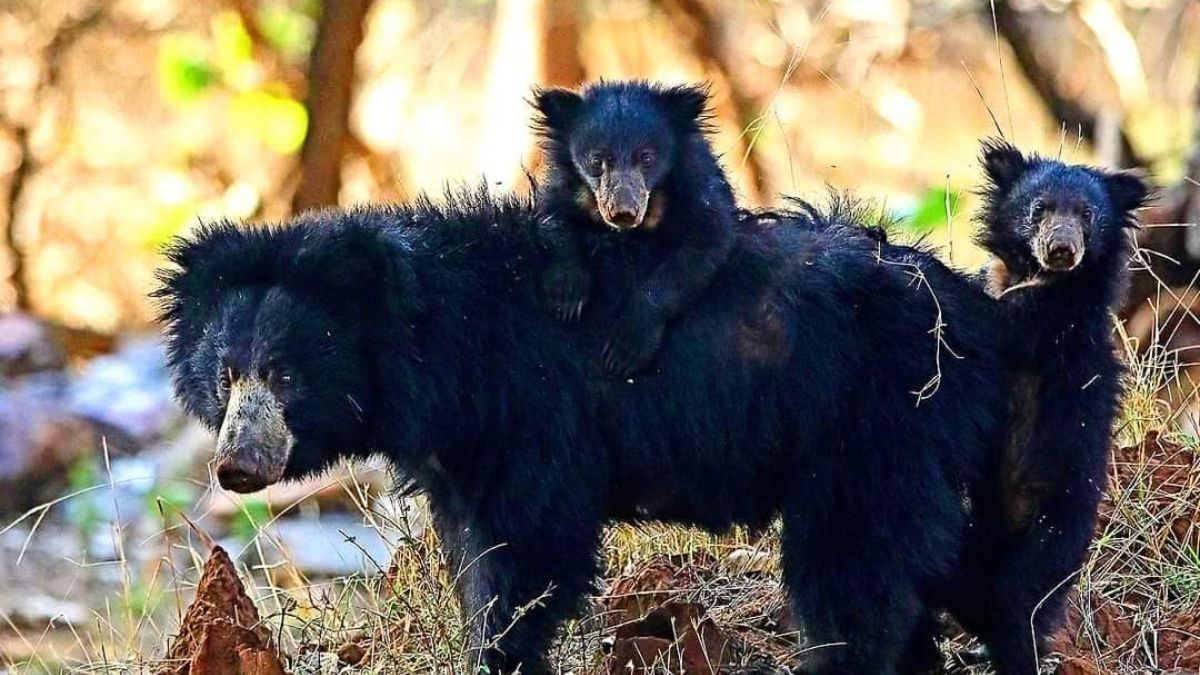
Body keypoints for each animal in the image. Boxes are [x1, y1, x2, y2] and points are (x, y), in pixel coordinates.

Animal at [157, 184, 1003, 672]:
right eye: (226, 374)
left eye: (287, 375)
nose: (237, 464)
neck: (444, 352)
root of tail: (969, 310)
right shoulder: (459, 452)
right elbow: (473, 553)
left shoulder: (535, 415)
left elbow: (528, 552)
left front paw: (503, 652)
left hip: (865, 423)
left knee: (852, 575)